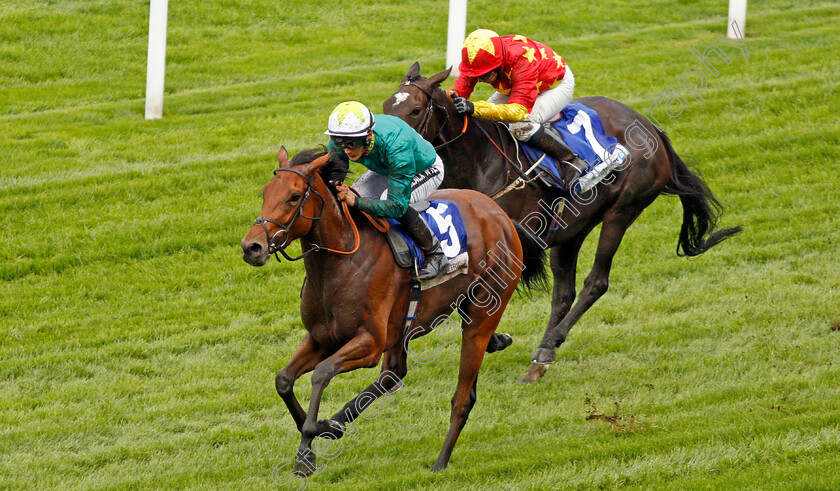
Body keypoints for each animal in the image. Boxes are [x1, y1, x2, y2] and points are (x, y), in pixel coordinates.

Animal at [240, 145, 548, 472]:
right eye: (265, 192)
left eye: (294, 196)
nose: (252, 247)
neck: (342, 262)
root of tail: (500, 215)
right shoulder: (321, 337)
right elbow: (283, 380)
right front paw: (322, 427)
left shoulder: (370, 342)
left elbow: (322, 373)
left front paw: (307, 448)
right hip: (408, 325)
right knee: (394, 374)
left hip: (481, 314)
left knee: (462, 396)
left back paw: (440, 462)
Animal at [384, 61, 744, 384]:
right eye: (387, 106)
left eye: (415, 110)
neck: (481, 164)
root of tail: (650, 126)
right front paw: (494, 339)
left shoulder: (517, 242)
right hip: (572, 230)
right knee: (563, 294)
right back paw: (540, 357)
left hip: (621, 211)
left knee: (596, 282)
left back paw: (549, 346)